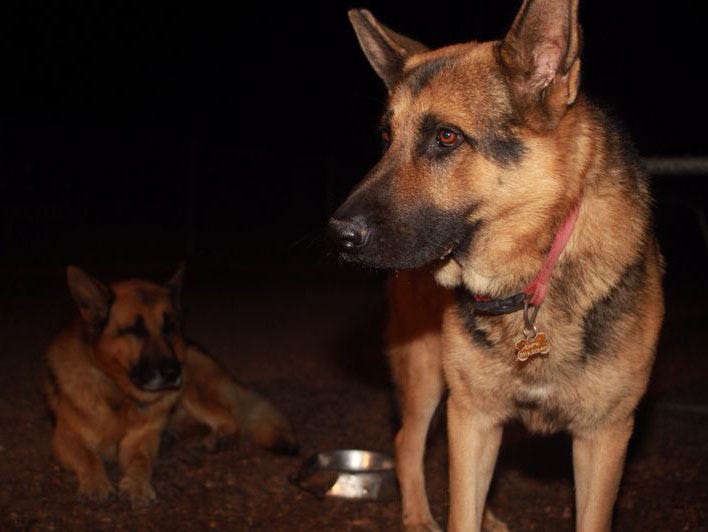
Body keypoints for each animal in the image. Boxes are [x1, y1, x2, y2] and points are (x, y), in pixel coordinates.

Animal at [43, 266, 298, 508]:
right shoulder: (65, 438)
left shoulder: (140, 440)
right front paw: (96, 483)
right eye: (135, 329)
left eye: (169, 327)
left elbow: (141, 461)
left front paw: (137, 485)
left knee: (229, 419)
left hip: (190, 389)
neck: (119, 392)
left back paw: (215, 438)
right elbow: (88, 457)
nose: (173, 372)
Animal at [330, 2, 664, 528]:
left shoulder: (604, 434)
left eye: (446, 137)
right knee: (407, 442)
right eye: (386, 137)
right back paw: (419, 517)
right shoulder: (472, 416)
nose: (337, 235)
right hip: (427, 376)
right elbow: (461, 509)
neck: (534, 276)